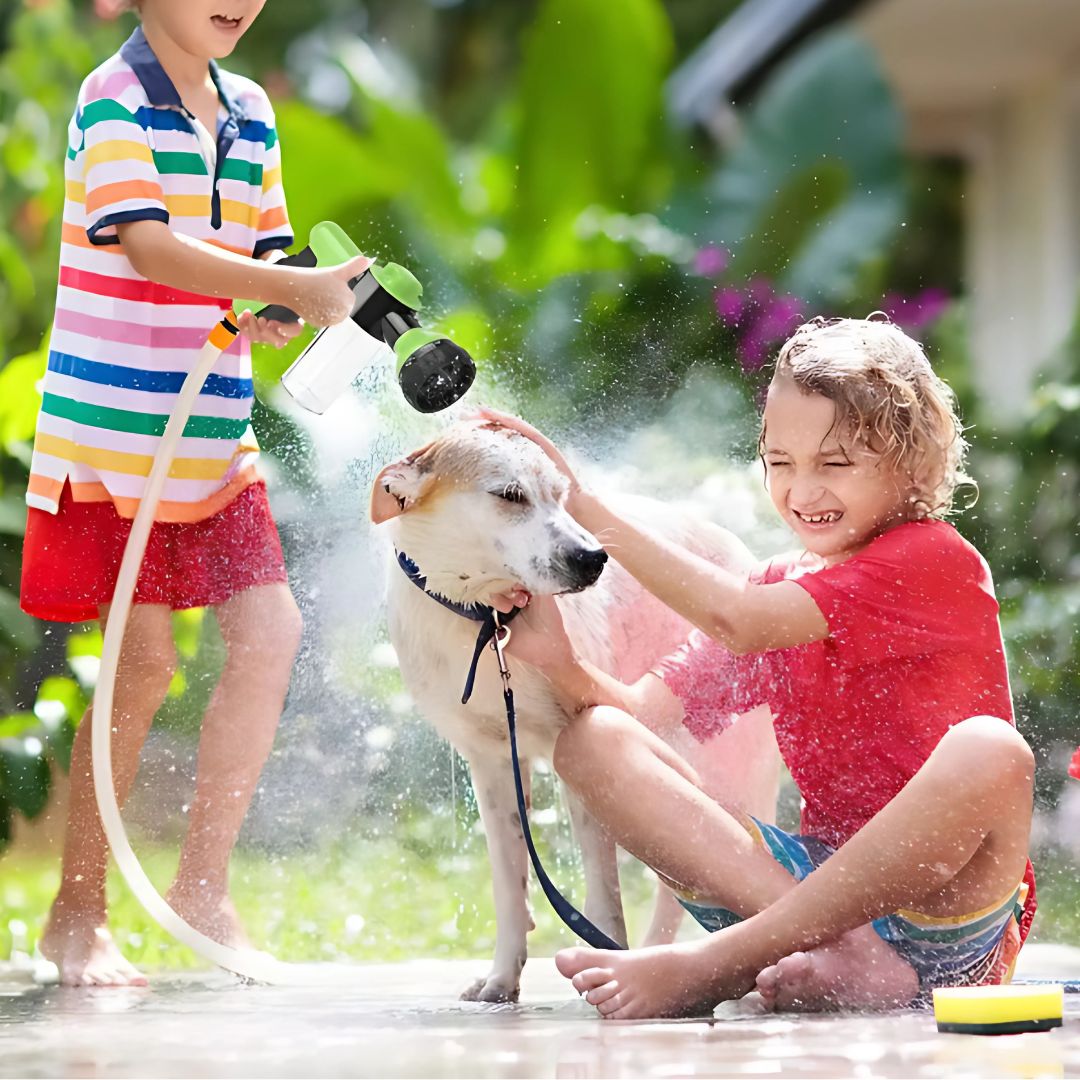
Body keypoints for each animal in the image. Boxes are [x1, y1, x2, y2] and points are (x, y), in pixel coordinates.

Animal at [371, 421, 777, 1002]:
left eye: (561, 497)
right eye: (510, 495)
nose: (594, 557)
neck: (487, 623)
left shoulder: (576, 744)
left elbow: (603, 888)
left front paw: (609, 957)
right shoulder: (492, 762)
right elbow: (509, 883)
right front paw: (502, 977)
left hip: (731, 774)